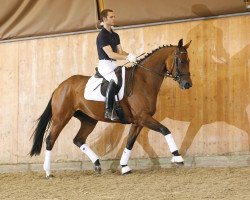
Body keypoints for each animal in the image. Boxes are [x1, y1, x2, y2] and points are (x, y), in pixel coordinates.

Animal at [30, 38, 192, 177]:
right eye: (181, 61)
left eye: (188, 61)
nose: (187, 84)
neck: (144, 80)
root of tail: (60, 86)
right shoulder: (143, 117)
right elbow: (165, 130)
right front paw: (177, 157)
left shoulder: (138, 121)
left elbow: (129, 142)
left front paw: (125, 167)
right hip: (61, 117)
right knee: (50, 140)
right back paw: (48, 172)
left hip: (88, 120)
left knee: (78, 140)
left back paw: (96, 164)